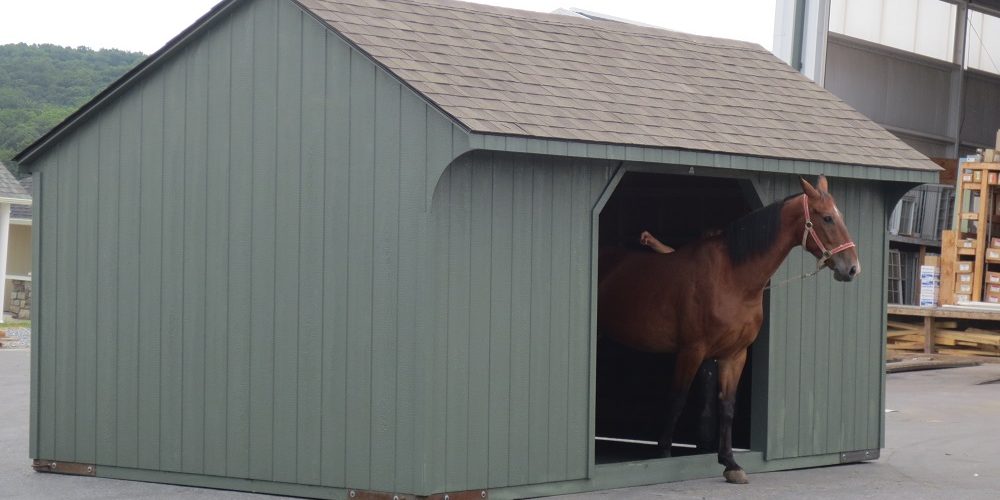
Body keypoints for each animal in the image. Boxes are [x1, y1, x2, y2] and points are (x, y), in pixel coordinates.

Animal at [597, 175, 859, 484]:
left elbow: (727, 406)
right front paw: (663, 453)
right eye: (828, 218)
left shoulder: (734, 354)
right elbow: (677, 399)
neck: (732, 278)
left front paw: (730, 463)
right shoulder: (691, 351)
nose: (852, 268)